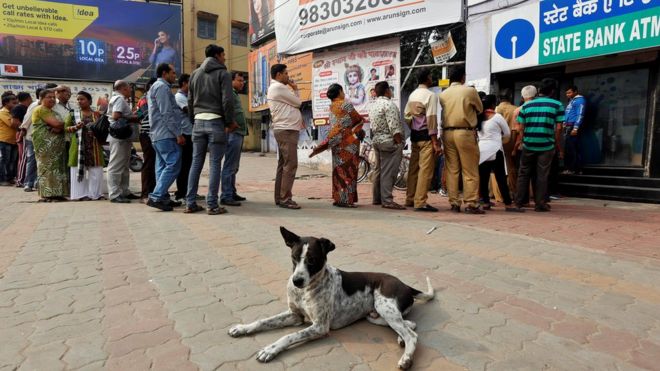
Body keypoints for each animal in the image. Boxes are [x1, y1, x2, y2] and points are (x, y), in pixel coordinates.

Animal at [229, 227, 436, 370]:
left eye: (312, 260)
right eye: (294, 257)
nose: (296, 281)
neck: (307, 289)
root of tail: (405, 285)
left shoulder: (320, 326)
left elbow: (288, 336)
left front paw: (270, 349)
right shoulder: (295, 315)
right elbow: (262, 321)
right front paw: (242, 328)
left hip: (385, 308)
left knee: (412, 335)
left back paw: (406, 357)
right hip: (376, 316)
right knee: (410, 325)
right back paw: (401, 339)